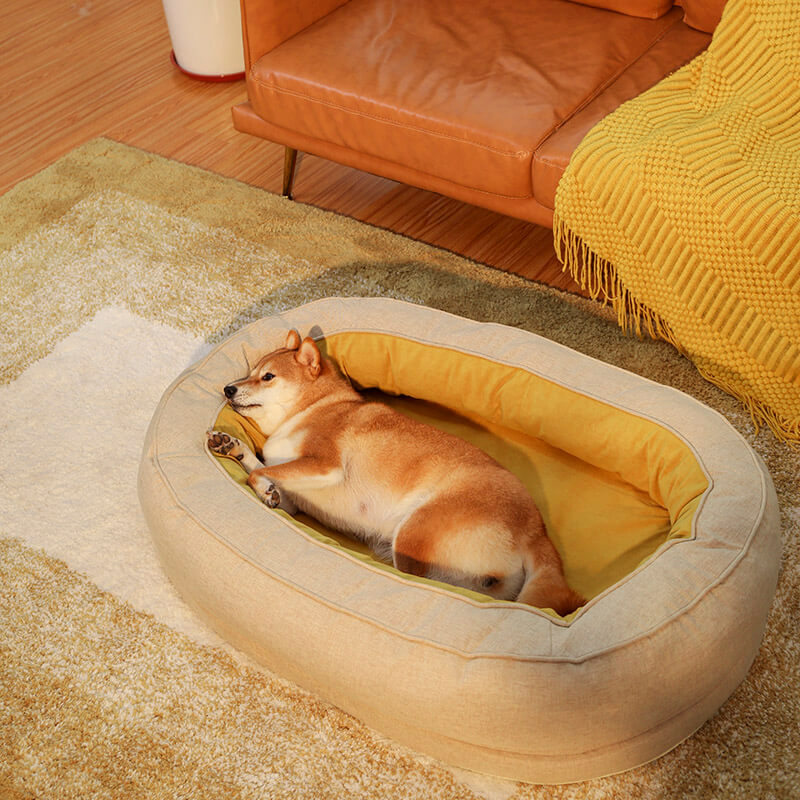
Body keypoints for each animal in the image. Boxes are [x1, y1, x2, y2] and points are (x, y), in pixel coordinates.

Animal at [205, 328, 580, 616]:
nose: (228, 389)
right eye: (250, 371)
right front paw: (233, 446)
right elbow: (263, 469)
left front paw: (258, 483)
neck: (312, 408)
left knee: (432, 585)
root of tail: (537, 530)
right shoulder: (293, 498)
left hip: (414, 531)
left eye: (267, 377)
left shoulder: (324, 465)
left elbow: (258, 473)